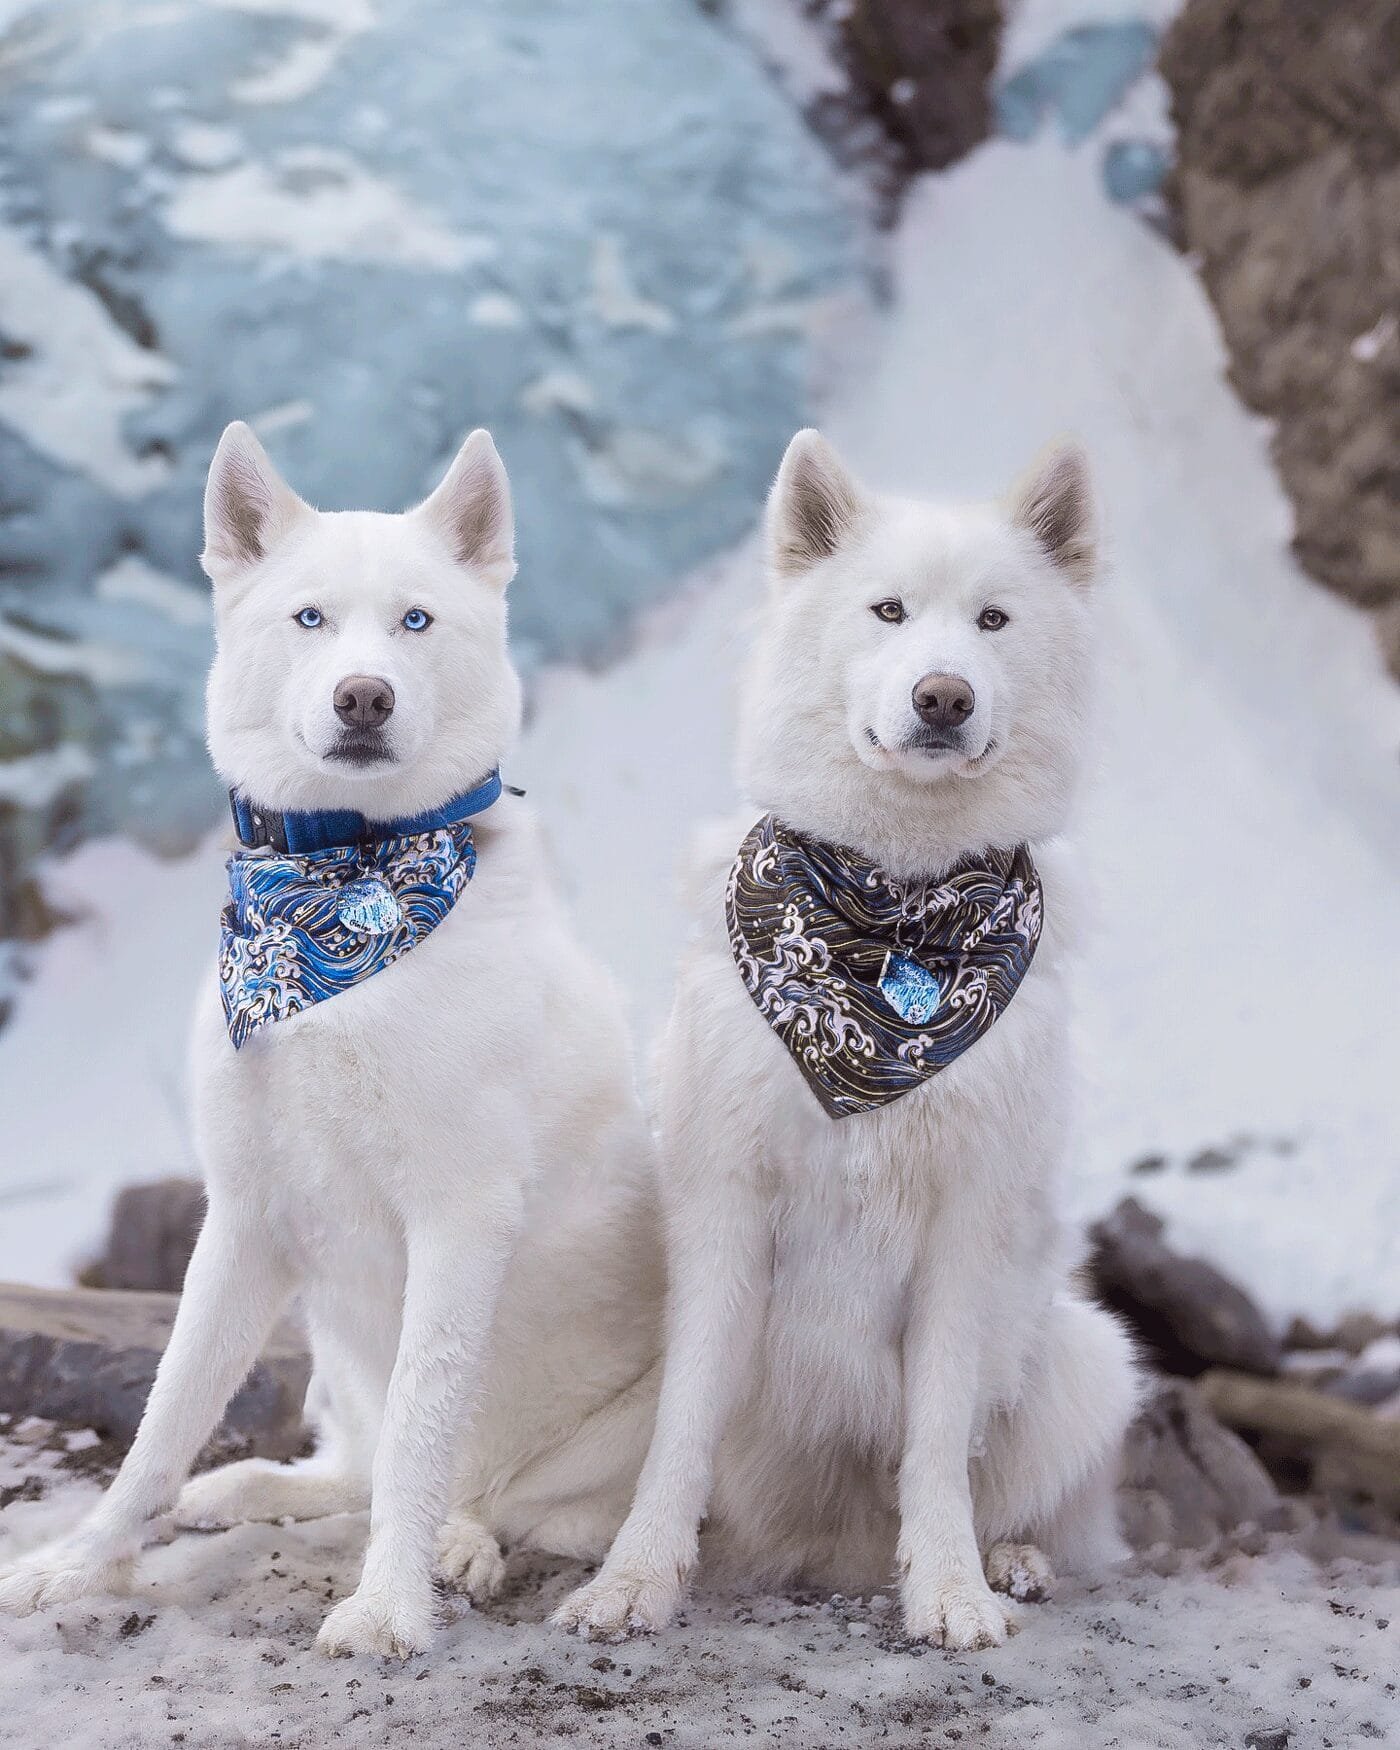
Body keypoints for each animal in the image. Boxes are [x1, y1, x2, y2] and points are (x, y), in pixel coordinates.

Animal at [0, 420, 661, 1652]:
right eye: (309, 618)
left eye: (416, 622)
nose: (363, 698)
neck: (342, 882)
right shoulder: (245, 1213)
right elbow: (164, 1421)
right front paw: (78, 1562)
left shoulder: (460, 1214)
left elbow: (421, 1428)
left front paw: (390, 1604)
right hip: (328, 1340)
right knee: (348, 1465)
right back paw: (253, 1487)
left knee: (509, 1498)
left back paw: (458, 1545)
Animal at [556, 430, 1134, 1645]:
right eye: (887, 610)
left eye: (993, 620)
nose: (942, 695)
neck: (893, 916)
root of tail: (821, 1551)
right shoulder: (724, 1211)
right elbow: (681, 1433)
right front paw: (634, 1582)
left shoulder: (965, 1232)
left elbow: (937, 1444)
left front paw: (949, 1591)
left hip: (1089, 1355)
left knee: (1014, 1502)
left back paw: (1004, 1561)